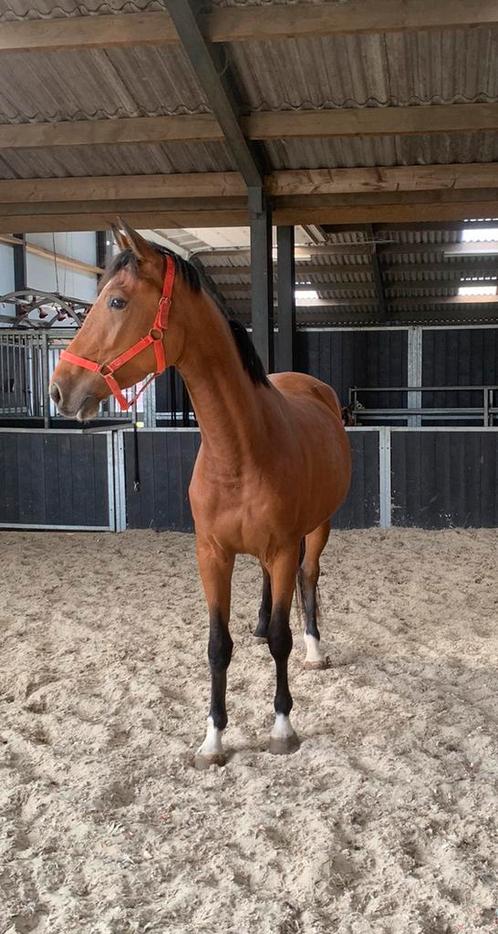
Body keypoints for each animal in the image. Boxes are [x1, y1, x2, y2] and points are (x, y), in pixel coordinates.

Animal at [49, 223, 350, 772]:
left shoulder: (281, 548)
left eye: (118, 301)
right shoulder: (211, 554)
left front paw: (282, 727)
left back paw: (316, 650)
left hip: (319, 527)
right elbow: (217, 645)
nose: (59, 389)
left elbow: (283, 639)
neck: (240, 451)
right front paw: (213, 739)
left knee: (308, 577)